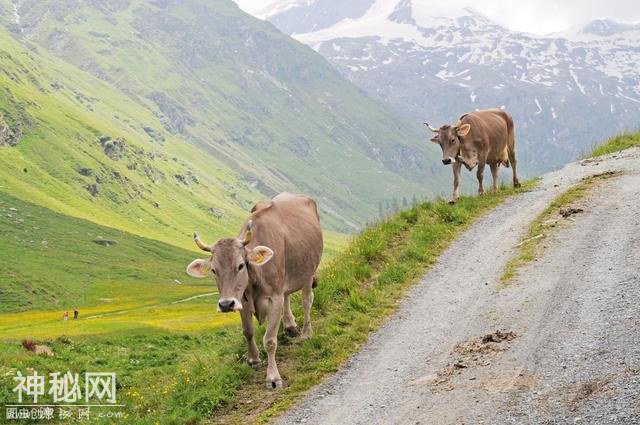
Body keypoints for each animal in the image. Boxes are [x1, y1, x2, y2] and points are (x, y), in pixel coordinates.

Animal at [188, 192, 322, 388]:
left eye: (241, 265)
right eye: (213, 270)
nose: (225, 304)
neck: (254, 282)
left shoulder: (274, 298)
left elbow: (270, 340)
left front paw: (273, 378)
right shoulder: (242, 299)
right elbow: (248, 331)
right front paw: (253, 360)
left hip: (308, 271)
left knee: (307, 301)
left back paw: (306, 333)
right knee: (288, 295)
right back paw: (290, 326)